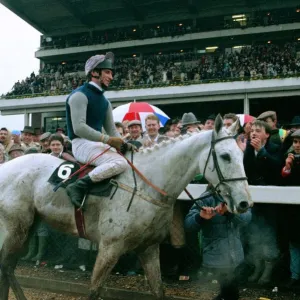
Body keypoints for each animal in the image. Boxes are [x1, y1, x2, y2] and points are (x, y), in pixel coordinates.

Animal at [0, 115, 251, 300]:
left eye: (242, 154)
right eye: (225, 156)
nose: (244, 202)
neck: (148, 185)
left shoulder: (149, 248)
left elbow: (159, 291)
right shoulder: (109, 248)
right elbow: (94, 291)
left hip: (28, 226)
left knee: (8, 268)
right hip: (14, 229)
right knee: (5, 266)